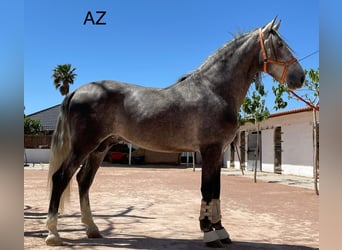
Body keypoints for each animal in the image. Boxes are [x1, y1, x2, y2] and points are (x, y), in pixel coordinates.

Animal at [44, 16, 304, 247]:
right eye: (280, 45)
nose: (300, 77)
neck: (214, 89)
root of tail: (77, 91)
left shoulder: (216, 152)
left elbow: (216, 192)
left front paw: (221, 231)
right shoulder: (210, 150)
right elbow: (207, 190)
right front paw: (209, 234)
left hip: (100, 148)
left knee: (83, 181)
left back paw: (92, 228)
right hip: (82, 147)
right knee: (61, 177)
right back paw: (53, 234)